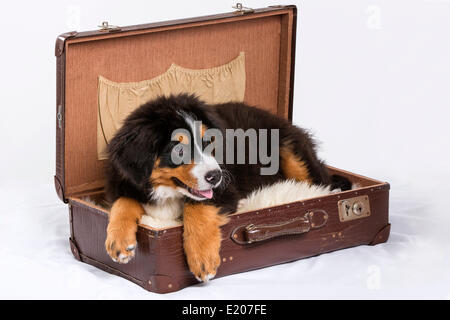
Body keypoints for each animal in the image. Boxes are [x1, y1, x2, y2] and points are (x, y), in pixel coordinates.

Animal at [103, 94, 350, 282]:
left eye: (208, 142)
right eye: (179, 151)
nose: (215, 176)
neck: (168, 192)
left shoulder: (226, 190)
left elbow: (197, 207)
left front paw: (202, 258)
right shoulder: (125, 182)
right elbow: (123, 202)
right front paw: (119, 242)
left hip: (290, 149)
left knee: (318, 180)